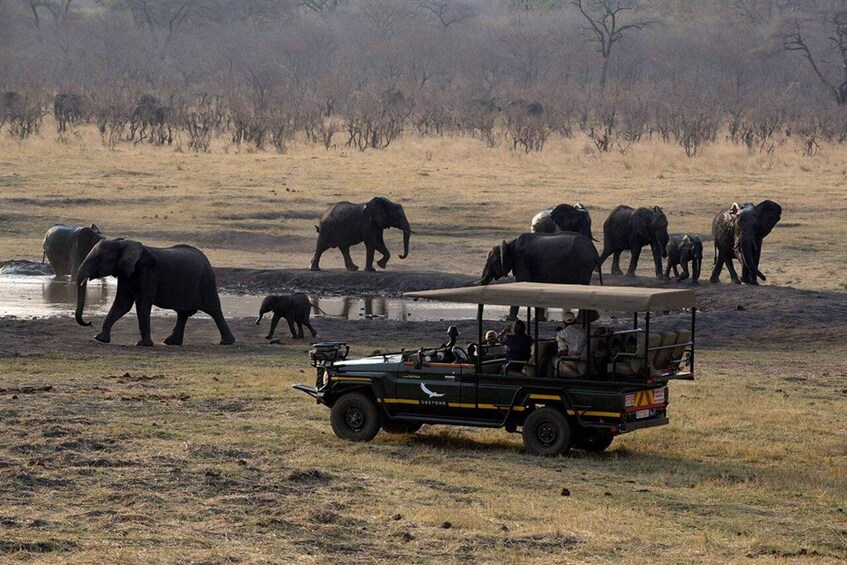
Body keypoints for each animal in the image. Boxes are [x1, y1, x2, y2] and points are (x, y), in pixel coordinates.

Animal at [75, 239, 235, 347]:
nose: (89, 322)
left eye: (99, 259)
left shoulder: (147, 271)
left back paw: (227, 342)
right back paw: (171, 342)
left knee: (214, 309)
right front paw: (99, 338)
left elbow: (142, 303)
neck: (123, 243)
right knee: (182, 313)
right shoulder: (126, 273)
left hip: (206, 281)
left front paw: (143, 344)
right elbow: (123, 303)